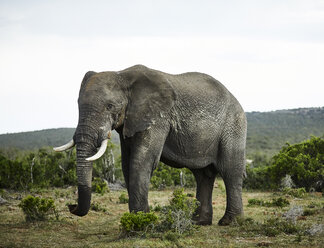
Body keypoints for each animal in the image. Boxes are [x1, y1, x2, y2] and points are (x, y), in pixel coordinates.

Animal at [53, 65, 246, 226]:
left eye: (110, 106)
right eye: (78, 105)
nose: (71, 206)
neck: (123, 74)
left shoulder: (158, 117)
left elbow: (142, 160)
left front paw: (141, 222)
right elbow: (127, 164)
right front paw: (139, 219)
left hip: (234, 125)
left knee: (230, 170)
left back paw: (229, 222)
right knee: (203, 175)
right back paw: (199, 222)